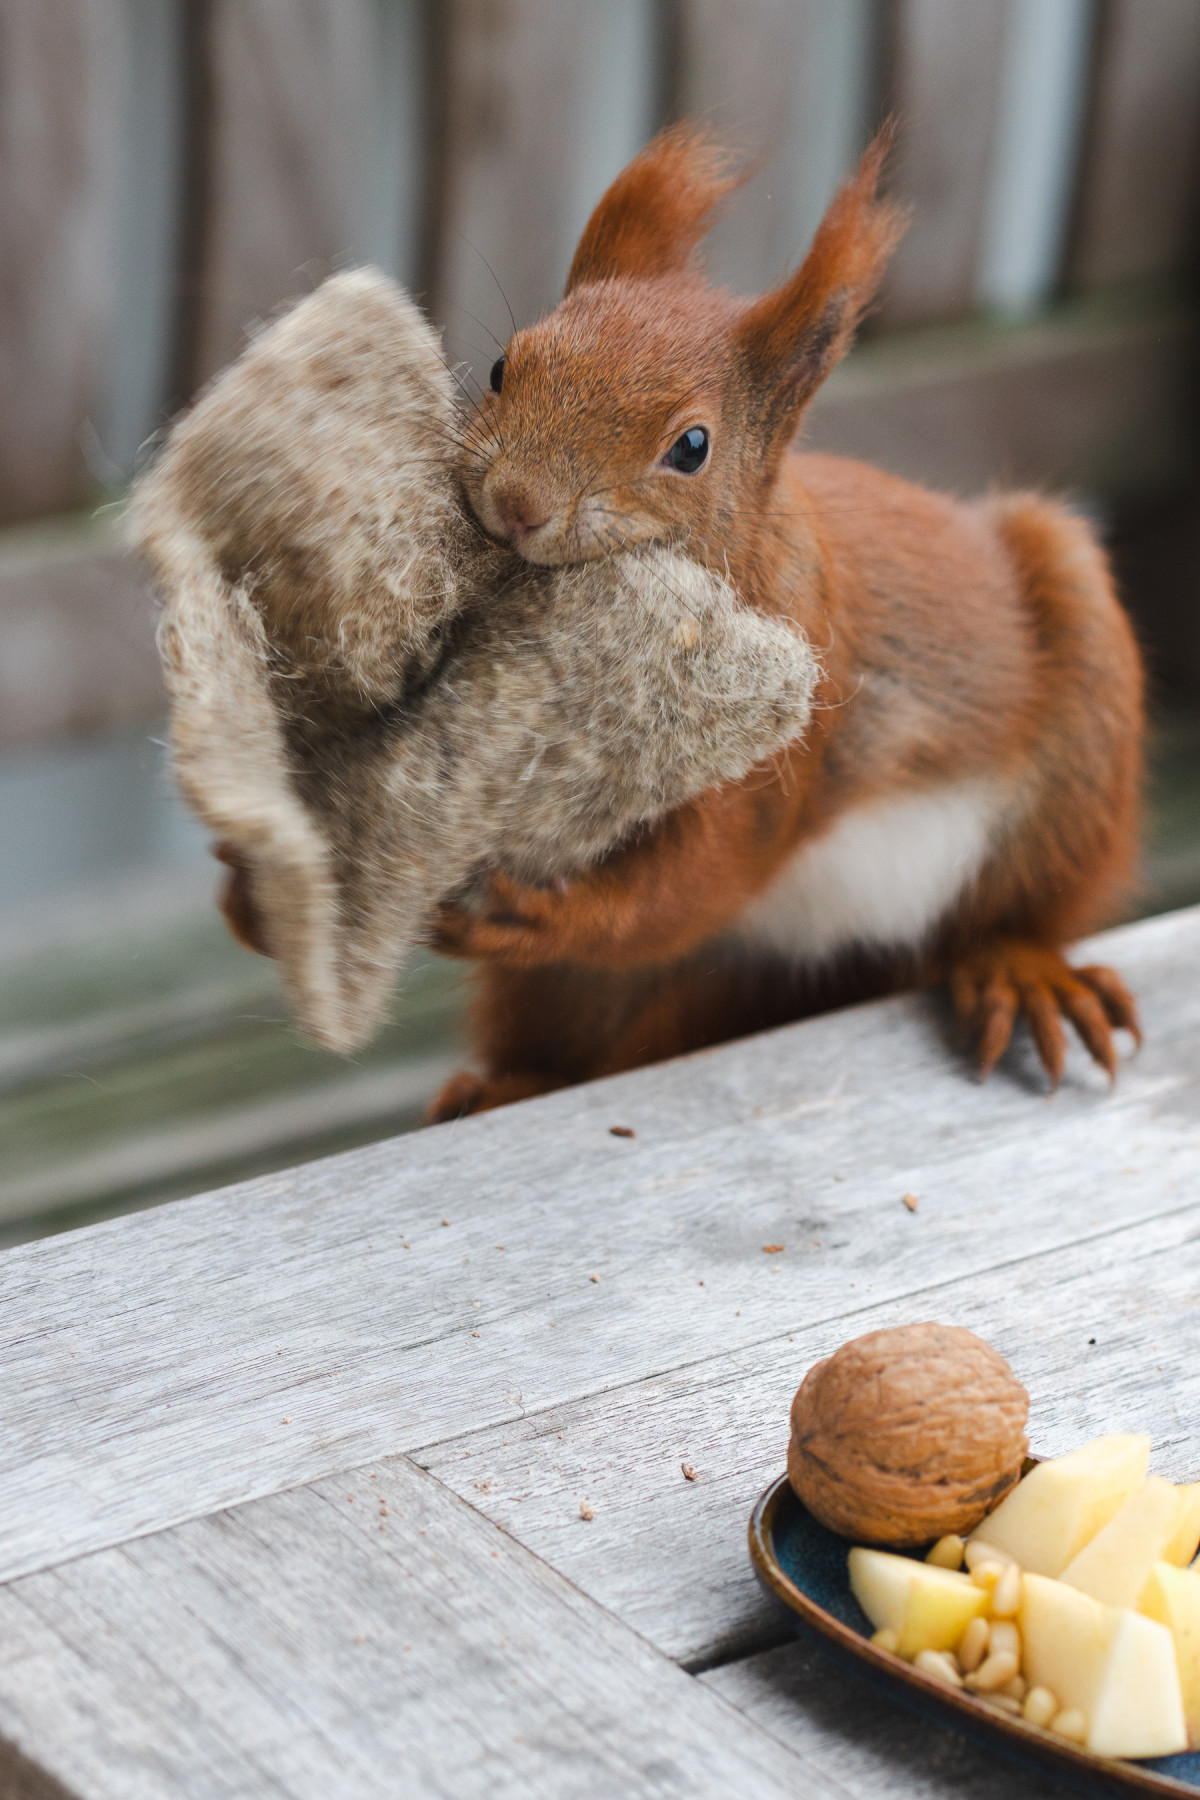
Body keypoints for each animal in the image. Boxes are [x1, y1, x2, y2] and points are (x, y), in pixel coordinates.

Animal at [422, 126, 1144, 1116]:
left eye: (692, 447)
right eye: (503, 368)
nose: (516, 503)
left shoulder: (790, 742)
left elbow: (693, 886)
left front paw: (534, 912)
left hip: (1080, 733)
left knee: (1023, 907)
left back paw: (1021, 967)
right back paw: (513, 1085)